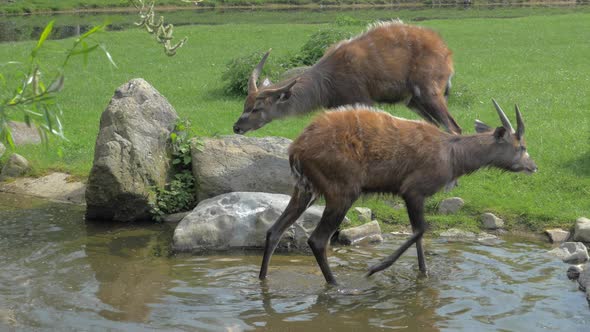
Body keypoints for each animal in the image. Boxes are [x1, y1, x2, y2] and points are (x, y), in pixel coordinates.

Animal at [232, 19, 462, 135]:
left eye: (257, 108)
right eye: (244, 105)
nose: (236, 127)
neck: (327, 80)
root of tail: (447, 52)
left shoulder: (363, 100)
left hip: (429, 93)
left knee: (454, 128)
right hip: (414, 101)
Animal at [262, 100, 540, 284]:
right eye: (522, 146)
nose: (533, 166)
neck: (453, 158)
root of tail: (296, 150)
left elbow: (419, 234)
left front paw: (423, 273)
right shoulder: (413, 189)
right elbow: (421, 230)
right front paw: (376, 268)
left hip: (306, 189)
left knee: (274, 230)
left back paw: (263, 279)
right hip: (342, 189)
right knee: (317, 240)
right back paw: (338, 285)